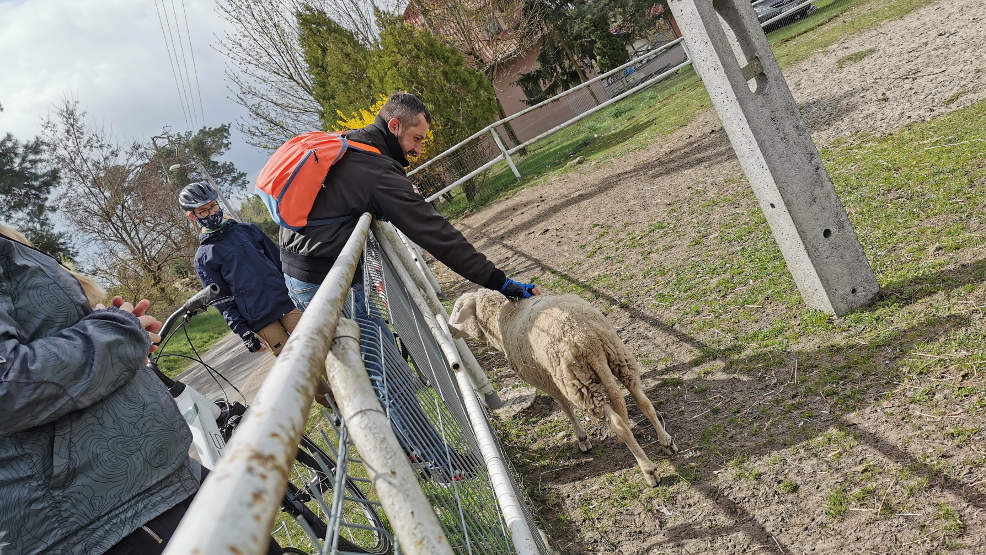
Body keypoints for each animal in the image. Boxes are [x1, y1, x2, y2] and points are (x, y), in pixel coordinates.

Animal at [452, 292, 676, 486]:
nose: (450, 329)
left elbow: (565, 409)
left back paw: (649, 471)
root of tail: (587, 338)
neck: (502, 319)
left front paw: (582, 439)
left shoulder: (549, 382)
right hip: (619, 357)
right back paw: (666, 441)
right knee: (644, 402)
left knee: (619, 424)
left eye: (457, 310)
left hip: (577, 381)